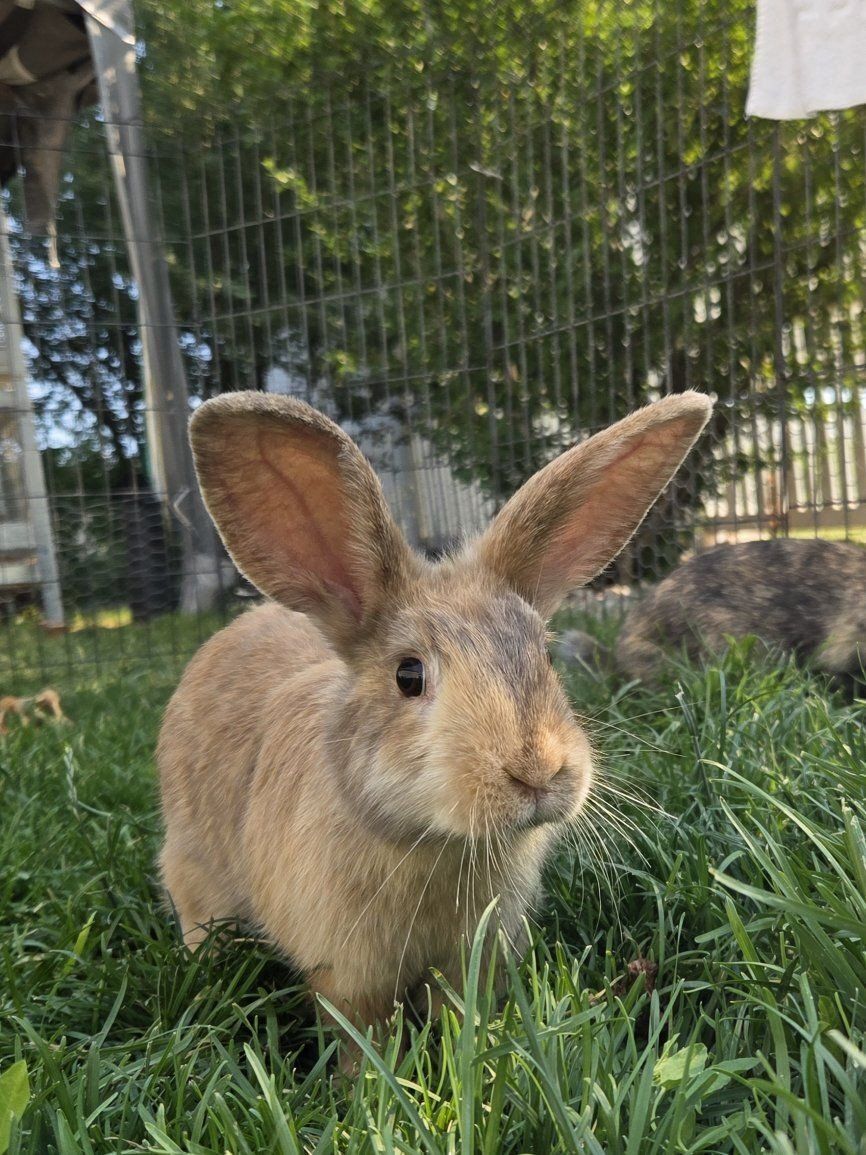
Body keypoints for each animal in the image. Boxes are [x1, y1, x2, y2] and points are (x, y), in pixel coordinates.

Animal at [157, 389, 712, 1049]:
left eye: (545, 655)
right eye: (409, 675)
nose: (537, 770)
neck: (435, 842)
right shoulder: (348, 975)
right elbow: (362, 1038)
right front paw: (372, 1074)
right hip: (194, 872)